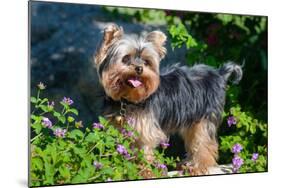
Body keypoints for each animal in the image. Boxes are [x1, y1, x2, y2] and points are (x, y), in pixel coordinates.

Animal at [93, 24, 242, 176]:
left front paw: (144, 172)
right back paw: (187, 165)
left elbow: (144, 151)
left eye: (146, 62)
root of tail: (219, 74)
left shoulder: (146, 130)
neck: (128, 100)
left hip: (204, 117)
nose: (139, 68)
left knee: (204, 142)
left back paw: (197, 166)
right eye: (126, 58)